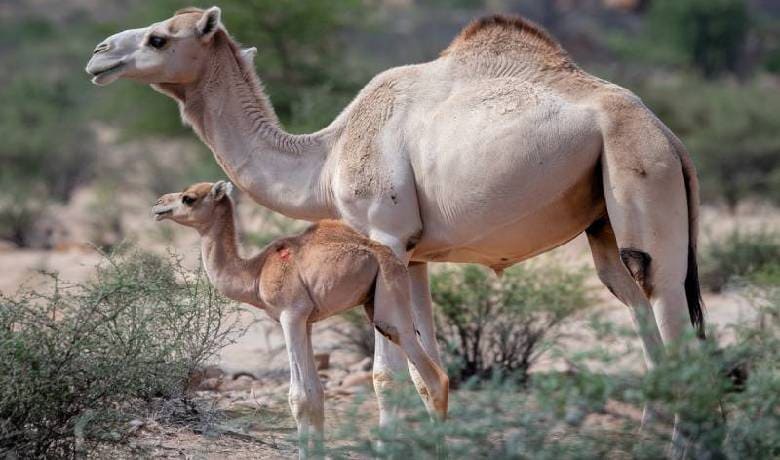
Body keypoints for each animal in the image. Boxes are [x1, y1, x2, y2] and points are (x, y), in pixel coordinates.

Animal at [152, 180, 448, 452]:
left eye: (188, 198)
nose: (158, 205)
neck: (256, 272)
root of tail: (393, 259)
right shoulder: (306, 322)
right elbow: (315, 394)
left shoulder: (290, 315)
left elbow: (298, 397)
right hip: (374, 302)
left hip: (389, 302)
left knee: (432, 374)